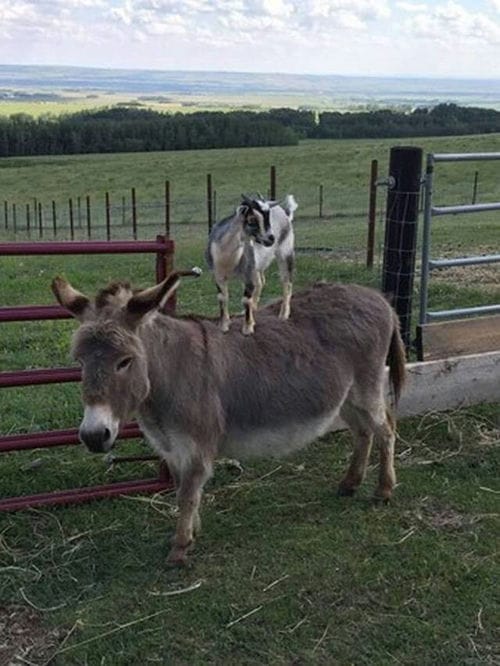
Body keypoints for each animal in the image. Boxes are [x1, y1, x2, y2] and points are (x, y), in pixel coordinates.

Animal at [53, 270, 406, 564]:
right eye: (79, 361)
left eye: (125, 361)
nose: (93, 436)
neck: (168, 376)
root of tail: (379, 298)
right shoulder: (170, 447)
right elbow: (183, 489)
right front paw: (192, 532)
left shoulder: (196, 445)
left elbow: (188, 492)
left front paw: (180, 548)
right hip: (345, 396)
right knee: (363, 432)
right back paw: (350, 483)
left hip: (366, 387)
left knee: (385, 429)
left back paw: (384, 490)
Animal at [206, 195, 296, 334]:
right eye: (252, 219)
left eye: (268, 217)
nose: (271, 239)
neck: (227, 257)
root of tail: (285, 213)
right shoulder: (218, 275)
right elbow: (222, 297)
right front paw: (224, 325)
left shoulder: (247, 273)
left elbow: (245, 299)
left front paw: (247, 328)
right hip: (256, 266)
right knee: (260, 282)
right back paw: (252, 309)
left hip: (285, 252)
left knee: (286, 281)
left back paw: (283, 314)